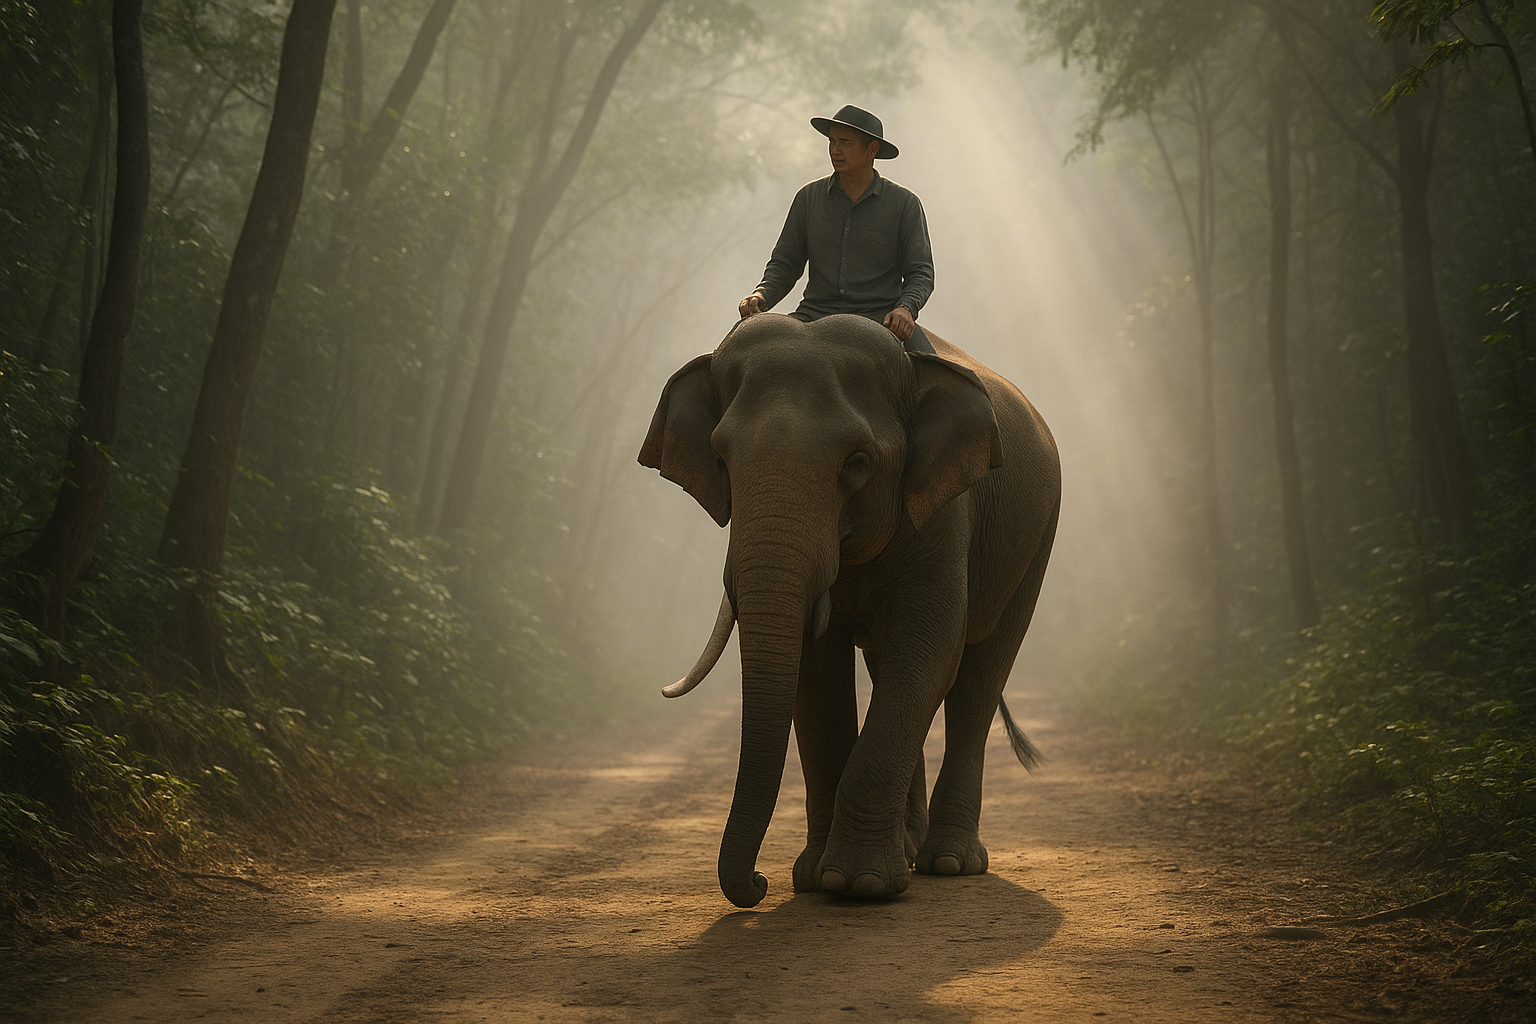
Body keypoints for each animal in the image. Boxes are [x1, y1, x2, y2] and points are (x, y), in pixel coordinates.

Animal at [638, 312, 1060, 909]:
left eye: (858, 463)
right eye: (720, 460)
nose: (758, 883)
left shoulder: (944, 511)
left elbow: (931, 650)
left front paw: (861, 885)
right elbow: (816, 671)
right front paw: (815, 878)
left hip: (1037, 537)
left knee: (981, 674)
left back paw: (950, 863)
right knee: (892, 670)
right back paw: (909, 850)